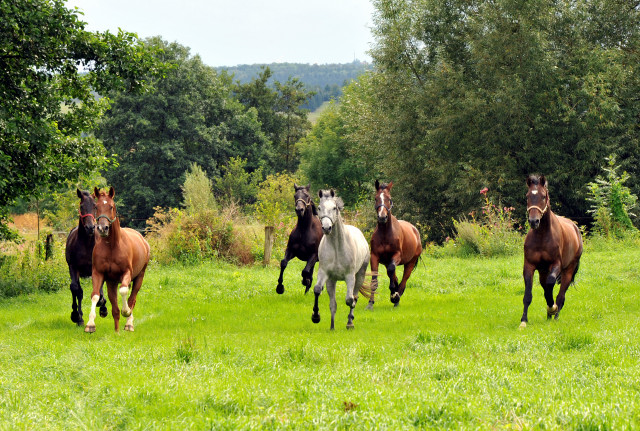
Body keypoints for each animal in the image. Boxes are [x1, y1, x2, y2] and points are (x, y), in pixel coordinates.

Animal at [64, 189, 107, 328]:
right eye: (82, 206)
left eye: (95, 206)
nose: (90, 227)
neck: (87, 245)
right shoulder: (73, 267)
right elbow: (75, 289)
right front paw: (76, 316)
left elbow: (99, 291)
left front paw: (102, 306)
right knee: (78, 291)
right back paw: (80, 317)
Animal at [84, 186, 151, 334]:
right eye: (96, 206)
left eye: (111, 206)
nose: (102, 228)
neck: (112, 246)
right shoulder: (99, 274)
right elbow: (95, 295)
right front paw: (90, 324)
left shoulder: (126, 273)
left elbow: (124, 291)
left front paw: (126, 312)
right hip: (111, 282)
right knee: (115, 308)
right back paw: (117, 331)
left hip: (139, 277)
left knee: (132, 299)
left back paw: (129, 324)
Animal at [310, 190, 370, 330]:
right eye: (319, 208)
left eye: (334, 208)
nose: (326, 228)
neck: (337, 248)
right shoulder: (325, 274)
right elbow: (318, 291)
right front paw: (316, 317)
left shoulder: (350, 276)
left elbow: (349, 299)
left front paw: (350, 322)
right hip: (332, 280)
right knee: (334, 303)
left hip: (360, 274)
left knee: (355, 295)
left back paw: (350, 322)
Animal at [520, 174, 584, 330]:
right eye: (527, 196)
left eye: (543, 196)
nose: (534, 221)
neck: (542, 236)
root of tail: (575, 227)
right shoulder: (529, 266)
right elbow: (528, 295)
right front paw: (523, 321)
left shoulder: (556, 265)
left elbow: (551, 284)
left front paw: (552, 307)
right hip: (543, 271)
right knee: (546, 289)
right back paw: (549, 315)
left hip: (568, 271)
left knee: (560, 296)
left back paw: (554, 316)